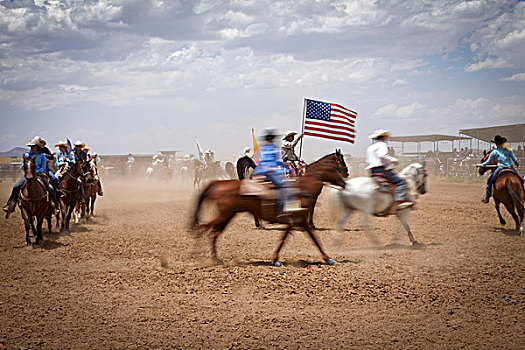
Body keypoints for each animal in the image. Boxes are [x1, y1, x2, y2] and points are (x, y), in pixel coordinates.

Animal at [192, 152, 348, 266]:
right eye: (340, 163)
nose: (346, 177)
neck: (305, 185)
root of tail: (217, 184)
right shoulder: (302, 213)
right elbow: (309, 232)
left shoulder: (296, 219)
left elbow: (300, 238)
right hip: (225, 214)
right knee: (208, 230)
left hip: (227, 215)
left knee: (211, 231)